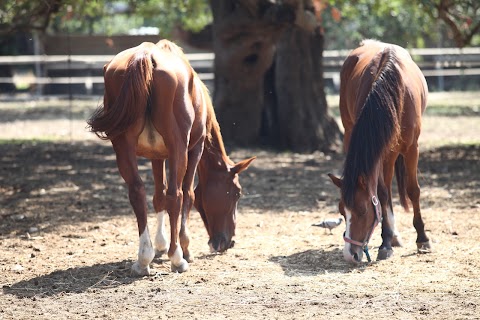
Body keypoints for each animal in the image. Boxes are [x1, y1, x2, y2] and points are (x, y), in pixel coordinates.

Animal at [88, 40, 256, 276]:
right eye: (237, 193)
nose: (228, 242)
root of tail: (145, 55)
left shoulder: (157, 156)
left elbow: (159, 196)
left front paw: (160, 244)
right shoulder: (194, 149)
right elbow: (188, 194)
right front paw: (184, 248)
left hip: (123, 147)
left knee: (137, 192)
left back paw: (143, 258)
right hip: (179, 149)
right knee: (176, 195)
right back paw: (177, 258)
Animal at [330, 40, 432, 264]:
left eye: (362, 210)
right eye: (341, 211)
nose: (350, 255)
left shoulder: (411, 149)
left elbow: (413, 190)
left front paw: (423, 238)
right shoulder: (381, 152)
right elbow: (382, 195)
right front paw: (385, 242)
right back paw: (392, 235)